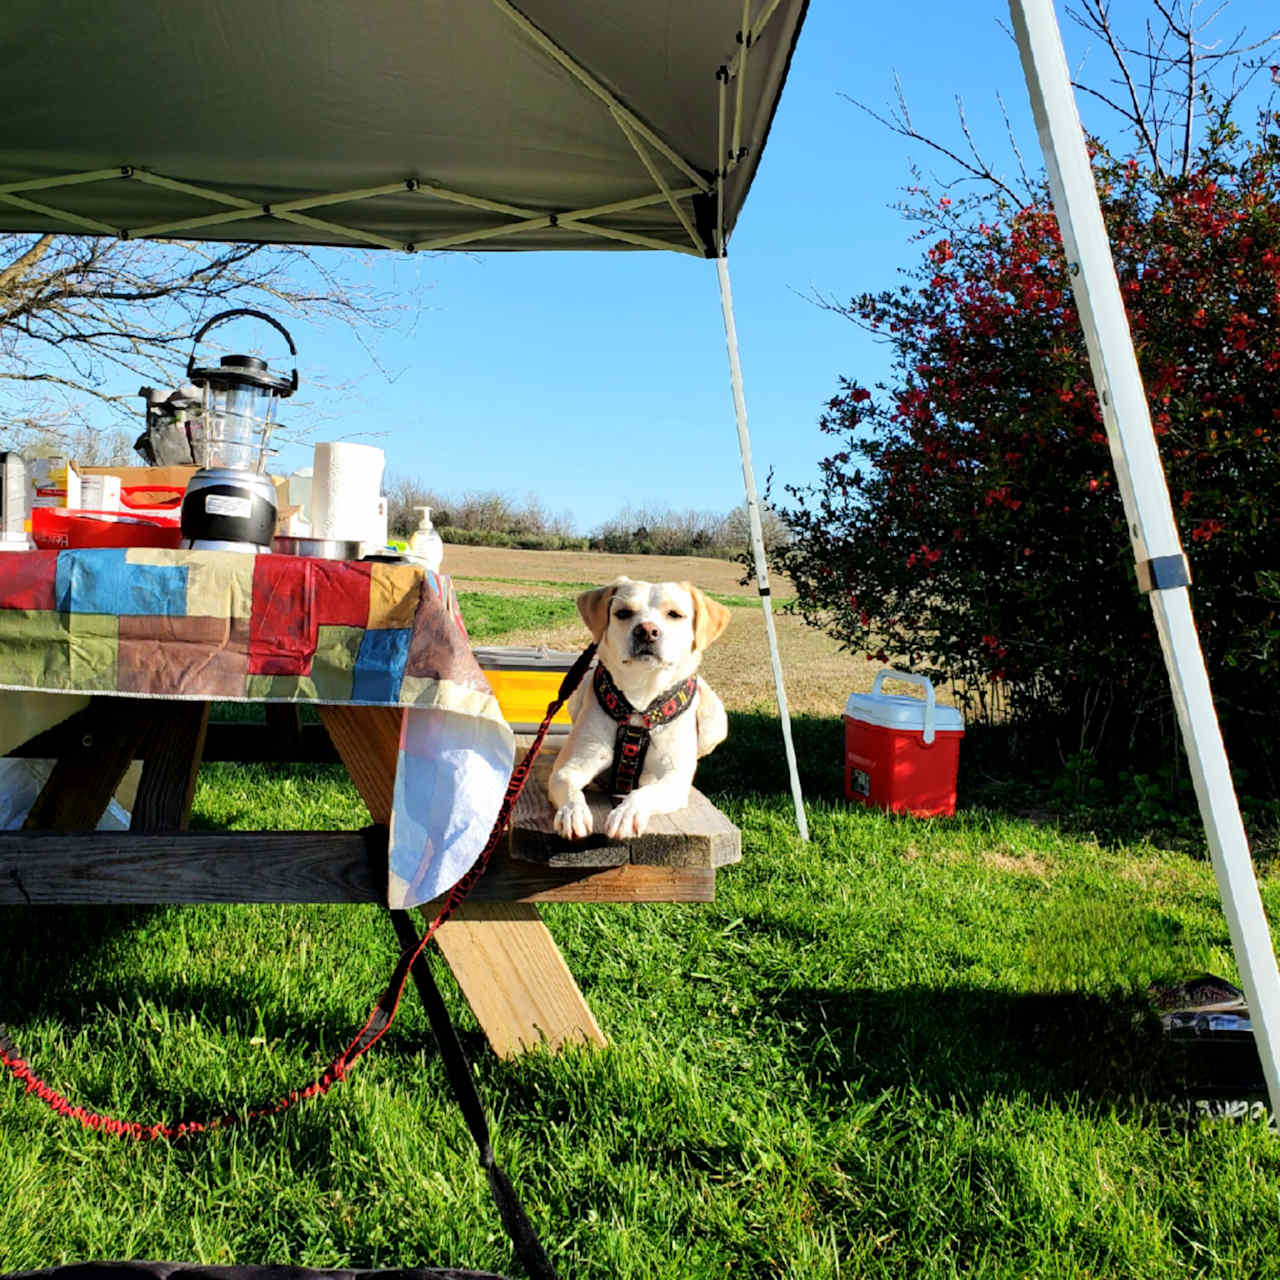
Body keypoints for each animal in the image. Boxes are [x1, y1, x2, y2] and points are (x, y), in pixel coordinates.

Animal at [547, 578, 732, 839]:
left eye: (675, 614)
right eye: (623, 613)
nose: (646, 630)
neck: (640, 700)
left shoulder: (675, 779)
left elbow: (646, 793)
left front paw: (627, 813)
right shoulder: (570, 766)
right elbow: (569, 786)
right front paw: (572, 812)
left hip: (716, 719)